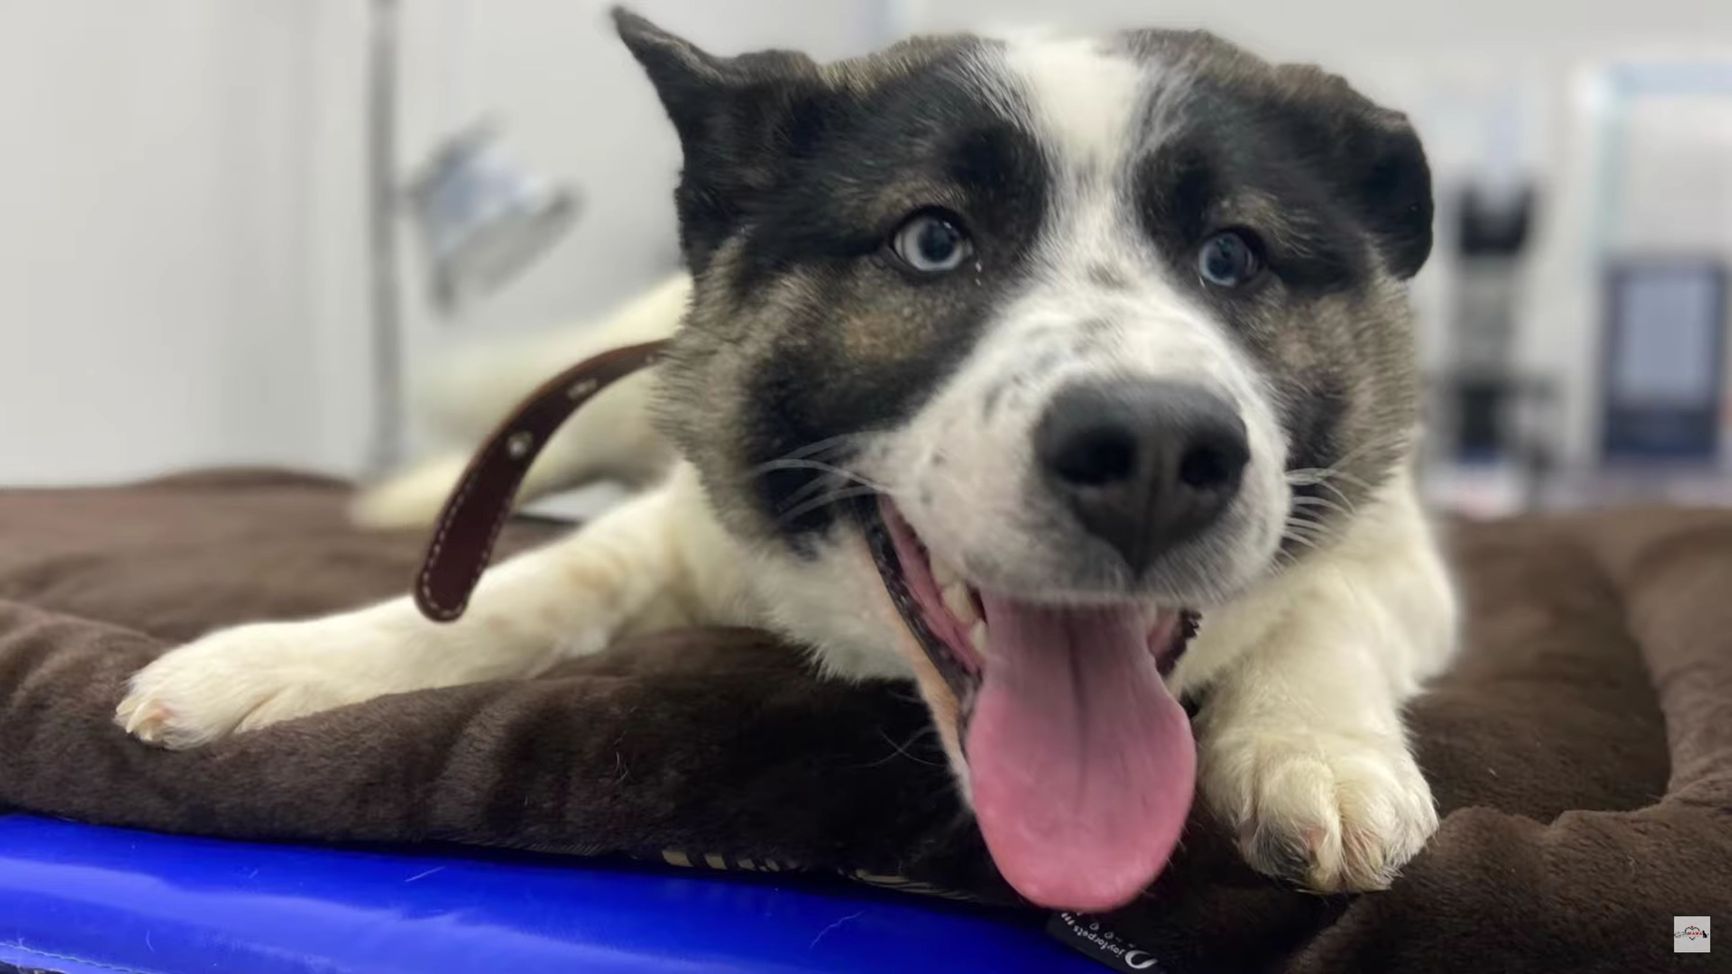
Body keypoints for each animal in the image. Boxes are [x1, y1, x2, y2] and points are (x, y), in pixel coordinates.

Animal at [115, 9, 1454, 908]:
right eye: (931, 242)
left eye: (1231, 257)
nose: (1155, 452)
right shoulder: (684, 532)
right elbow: (533, 588)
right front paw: (300, 658)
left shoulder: (1399, 550)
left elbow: (1327, 606)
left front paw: (1311, 748)